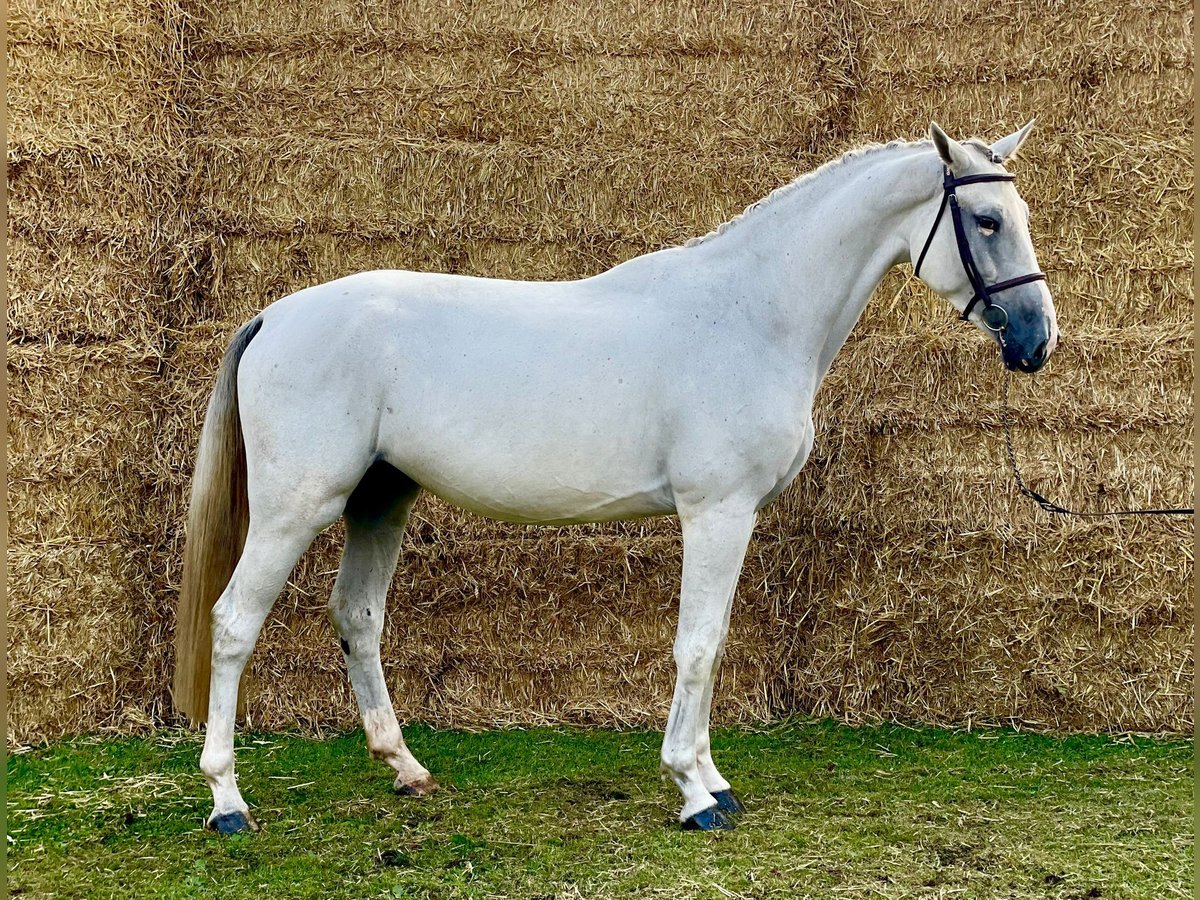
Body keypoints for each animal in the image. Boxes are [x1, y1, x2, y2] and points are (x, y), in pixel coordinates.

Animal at [174, 123, 1056, 835]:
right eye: (985, 221)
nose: (1038, 341)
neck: (750, 314)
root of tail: (277, 315)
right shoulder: (717, 511)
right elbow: (697, 645)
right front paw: (694, 794)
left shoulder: (735, 518)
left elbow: (715, 642)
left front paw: (715, 781)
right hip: (296, 510)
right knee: (233, 623)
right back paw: (228, 802)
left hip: (380, 500)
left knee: (357, 618)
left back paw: (407, 770)